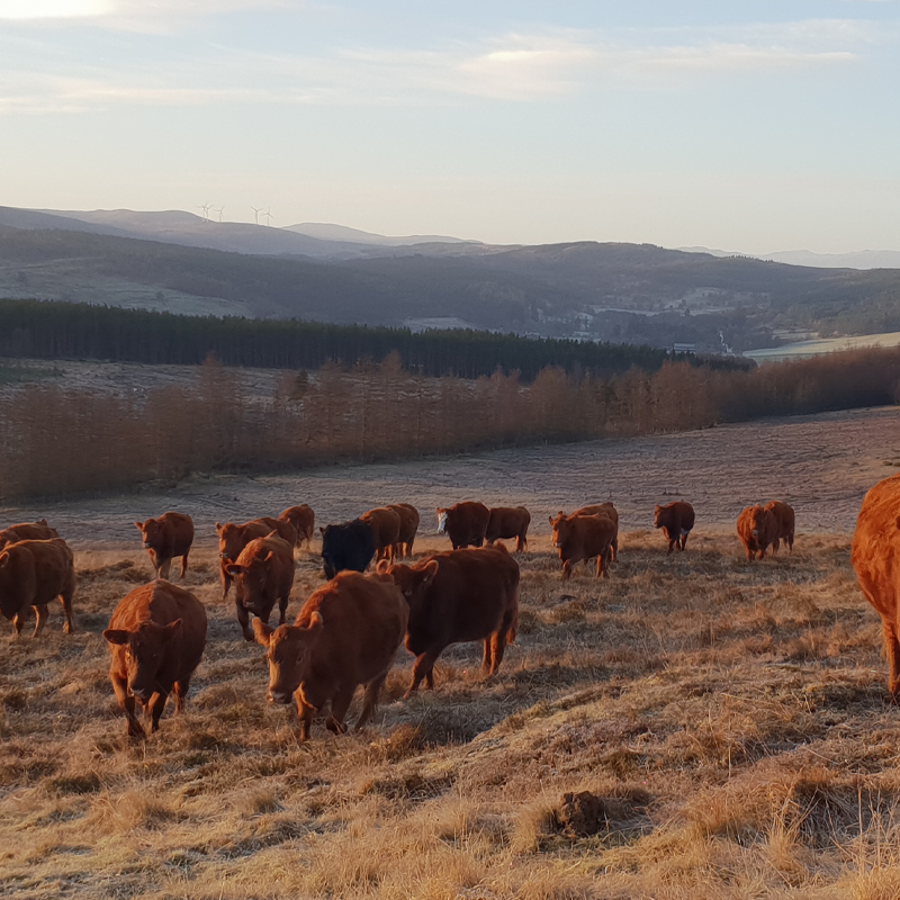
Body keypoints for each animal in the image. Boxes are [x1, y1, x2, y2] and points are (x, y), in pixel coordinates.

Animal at [103, 580, 207, 738]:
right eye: (127, 653)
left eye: (155, 655)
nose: (137, 689)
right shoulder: (117, 674)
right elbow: (126, 702)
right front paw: (134, 731)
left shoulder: (166, 680)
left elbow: (156, 706)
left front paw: (152, 729)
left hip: (185, 675)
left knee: (180, 694)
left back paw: (177, 714)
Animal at [253, 571, 408, 741]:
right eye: (269, 657)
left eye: (300, 658)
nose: (277, 695)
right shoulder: (301, 690)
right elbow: (305, 719)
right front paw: (304, 739)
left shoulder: (346, 687)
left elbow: (332, 721)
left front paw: (344, 727)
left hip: (385, 667)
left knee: (370, 697)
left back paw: (358, 727)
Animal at [380, 543, 520, 697]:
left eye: (408, 591)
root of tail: (499, 550)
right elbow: (428, 667)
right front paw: (429, 687)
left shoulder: (438, 641)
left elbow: (420, 667)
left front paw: (409, 694)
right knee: (488, 642)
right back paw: (485, 667)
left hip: (505, 619)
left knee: (497, 647)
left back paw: (492, 675)